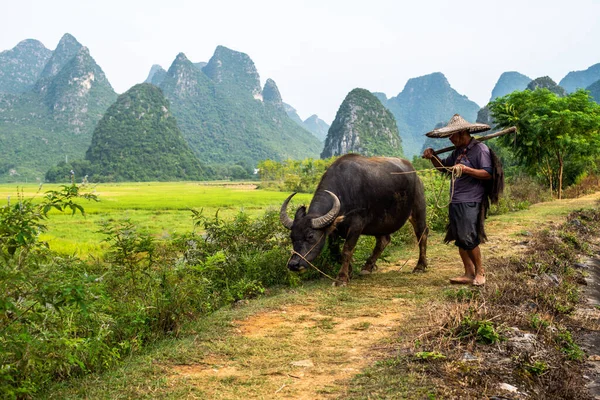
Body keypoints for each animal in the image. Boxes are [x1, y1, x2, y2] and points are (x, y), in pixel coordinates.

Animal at [278, 152, 428, 286]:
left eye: (310, 236)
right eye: (292, 237)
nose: (293, 264)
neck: (343, 192)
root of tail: (416, 176)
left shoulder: (356, 225)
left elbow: (347, 250)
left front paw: (342, 278)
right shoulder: (333, 229)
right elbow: (335, 251)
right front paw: (349, 272)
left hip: (418, 210)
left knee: (422, 234)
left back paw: (420, 266)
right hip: (380, 223)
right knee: (384, 240)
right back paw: (367, 267)